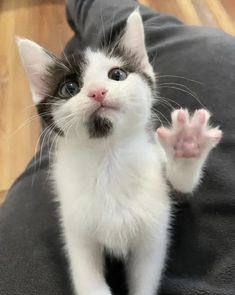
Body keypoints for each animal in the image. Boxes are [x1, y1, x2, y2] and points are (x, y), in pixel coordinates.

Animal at [17, 11, 222, 295]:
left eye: (117, 74)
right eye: (69, 88)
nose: (97, 91)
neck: (108, 157)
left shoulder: (153, 233)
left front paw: (186, 143)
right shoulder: (78, 235)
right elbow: (88, 279)